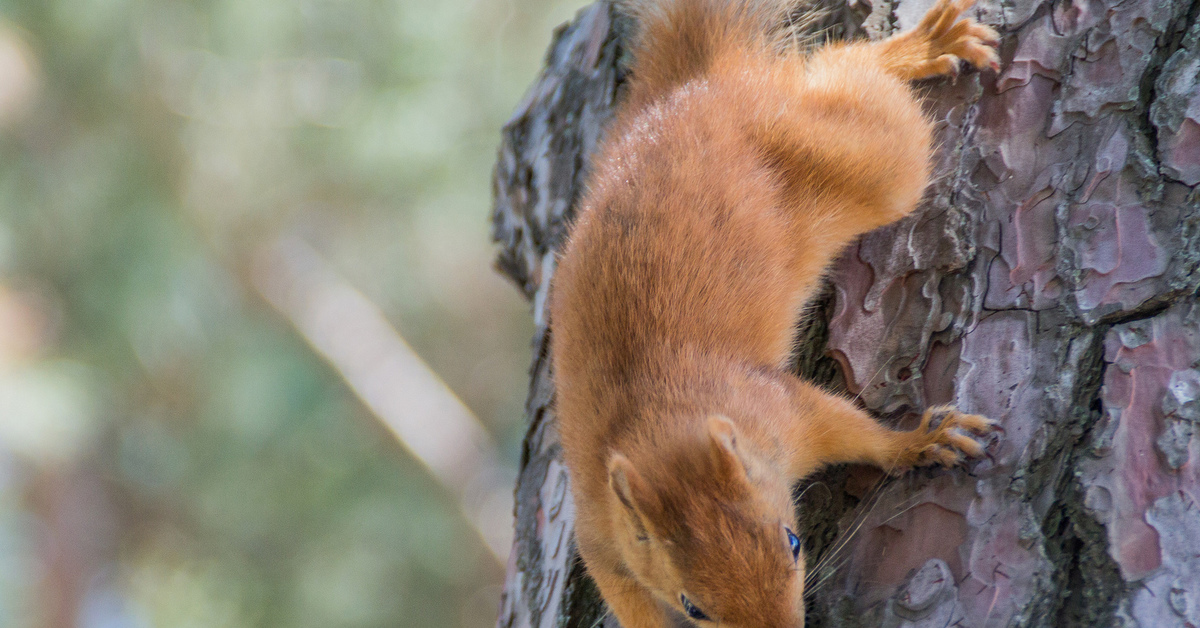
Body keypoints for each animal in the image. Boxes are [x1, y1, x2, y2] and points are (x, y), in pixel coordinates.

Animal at [549, 2, 998, 624]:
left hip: (867, 162)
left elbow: (854, 430)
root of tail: (698, 86)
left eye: (793, 541)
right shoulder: (602, 535)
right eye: (693, 607)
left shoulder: (783, 410)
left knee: (848, 70)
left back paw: (917, 49)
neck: (658, 423)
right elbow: (630, 599)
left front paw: (916, 443)